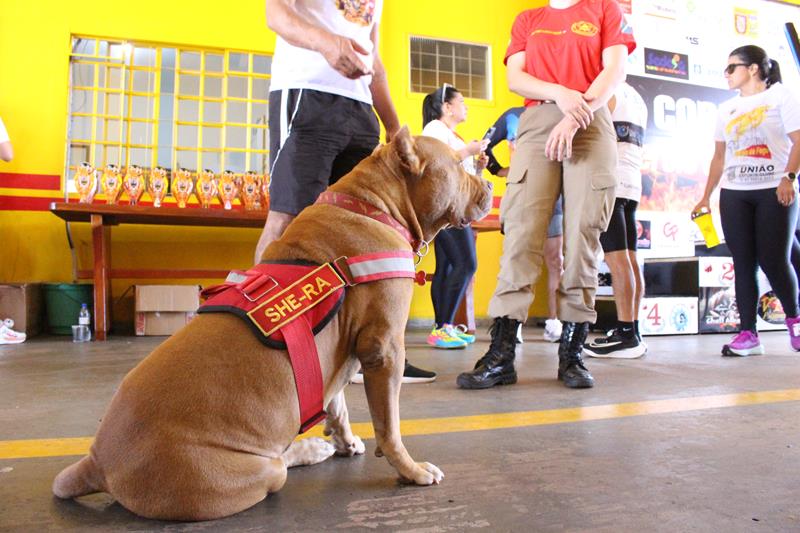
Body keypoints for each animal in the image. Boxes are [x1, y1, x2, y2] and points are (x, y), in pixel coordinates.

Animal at [51, 128, 494, 520]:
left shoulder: (343, 355)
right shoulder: (384, 350)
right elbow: (390, 426)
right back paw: (310, 451)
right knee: (279, 464)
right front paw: (411, 471)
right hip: (246, 472)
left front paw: (346, 438)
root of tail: (97, 463)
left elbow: (337, 402)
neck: (372, 205)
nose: (489, 181)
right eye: (460, 164)